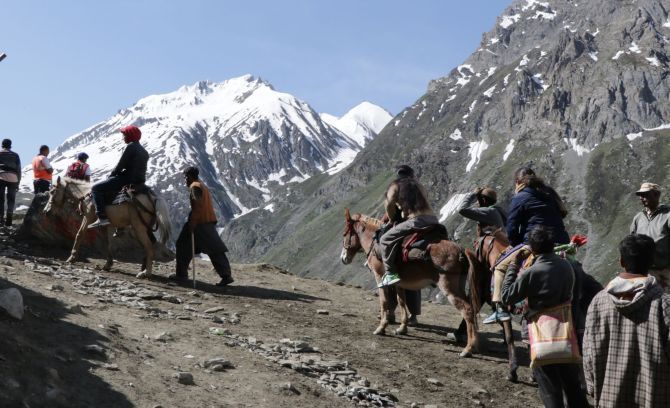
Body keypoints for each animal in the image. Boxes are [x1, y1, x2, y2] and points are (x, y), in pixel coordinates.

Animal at [43, 177, 172, 278]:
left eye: (52, 192)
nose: (46, 211)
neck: (85, 194)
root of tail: (154, 198)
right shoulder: (109, 225)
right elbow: (109, 243)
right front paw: (107, 264)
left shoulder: (88, 217)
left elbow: (80, 234)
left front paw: (71, 258)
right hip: (144, 228)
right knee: (150, 245)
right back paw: (143, 269)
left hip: (138, 228)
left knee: (150, 248)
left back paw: (145, 273)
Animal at [342, 209, 484, 358]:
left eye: (344, 234)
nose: (343, 258)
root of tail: (461, 250)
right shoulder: (399, 283)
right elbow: (401, 302)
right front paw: (402, 328)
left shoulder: (380, 278)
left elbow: (384, 302)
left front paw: (381, 328)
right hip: (459, 286)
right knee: (472, 310)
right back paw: (473, 345)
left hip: (449, 288)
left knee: (467, 310)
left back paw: (468, 349)